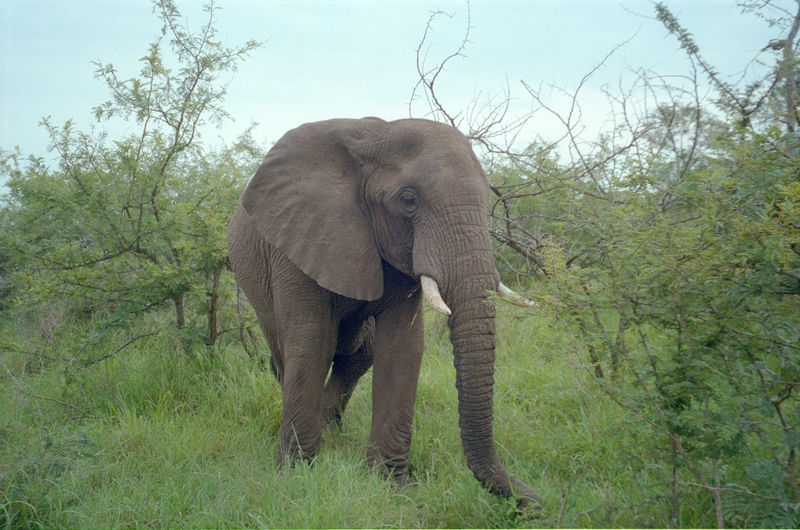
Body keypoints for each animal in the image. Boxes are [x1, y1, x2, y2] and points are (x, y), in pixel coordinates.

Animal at [227, 115, 544, 508]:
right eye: (407, 200)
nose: (534, 503)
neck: (374, 135)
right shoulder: (296, 237)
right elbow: (312, 341)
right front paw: (296, 476)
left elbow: (403, 347)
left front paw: (391, 486)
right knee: (290, 354)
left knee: (360, 353)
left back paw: (331, 429)